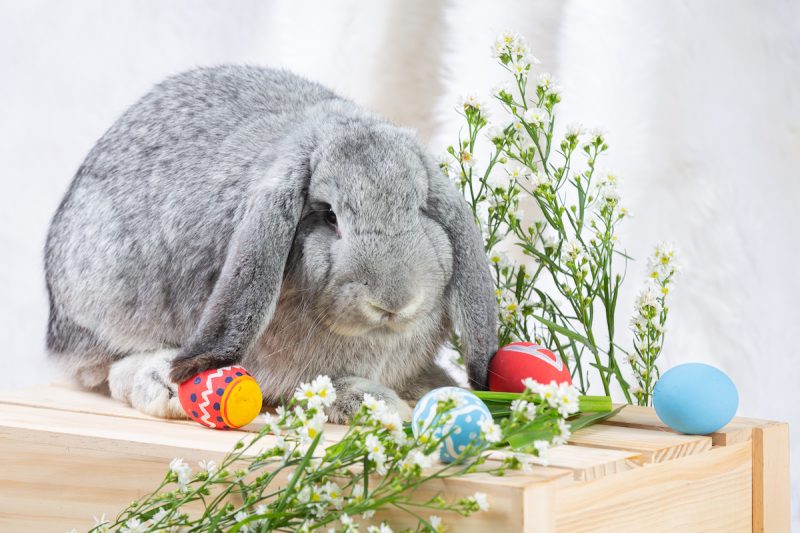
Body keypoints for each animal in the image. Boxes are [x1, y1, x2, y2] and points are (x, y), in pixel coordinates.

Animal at [44, 66, 497, 423]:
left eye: (420, 207)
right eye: (329, 215)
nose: (393, 301)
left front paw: (439, 387)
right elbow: (317, 387)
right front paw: (376, 403)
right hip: (103, 300)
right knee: (105, 370)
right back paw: (163, 386)